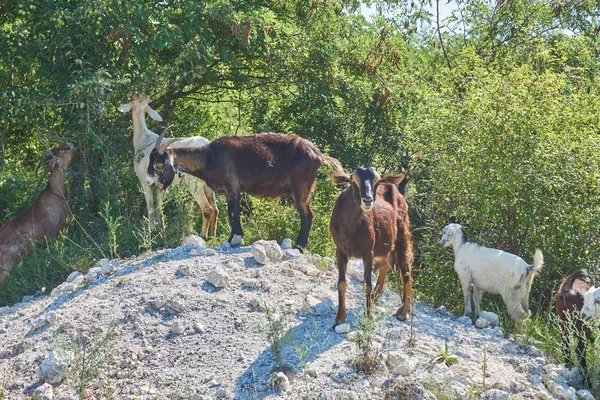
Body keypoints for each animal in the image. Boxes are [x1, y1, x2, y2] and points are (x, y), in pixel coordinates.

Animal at [117, 94, 218, 238]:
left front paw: (150, 231)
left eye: (132, 103)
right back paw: (213, 236)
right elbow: (159, 206)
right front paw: (161, 230)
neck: (143, 137)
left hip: (194, 184)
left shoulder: (145, 183)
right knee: (215, 209)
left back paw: (203, 235)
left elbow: (151, 206)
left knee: (207, 208)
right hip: (208, 187)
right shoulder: (160, 186)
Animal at [146, 131, 342, 250]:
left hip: (301, 189)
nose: (148, 180)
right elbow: (229, 215)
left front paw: (237, 239)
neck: (210, 158)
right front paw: (230, 239)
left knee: (307, 216)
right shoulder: (227, 193)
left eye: (158, 165)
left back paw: (299, 246)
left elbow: (234, 214)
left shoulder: (233, 188)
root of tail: (318, 154)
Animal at [328, 167, 412, 326]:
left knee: (406, 272)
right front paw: (339, 318)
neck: (350, 227)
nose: (367, 200)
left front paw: (367, 318)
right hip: (385, 245)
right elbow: (341, 283)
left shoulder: (368, 252)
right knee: (385, 265)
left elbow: (367, 285)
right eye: (353, 181)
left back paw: (403, 312)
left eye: (377, 182)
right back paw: (378, 298)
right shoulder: (340, 250)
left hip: (402, 235)